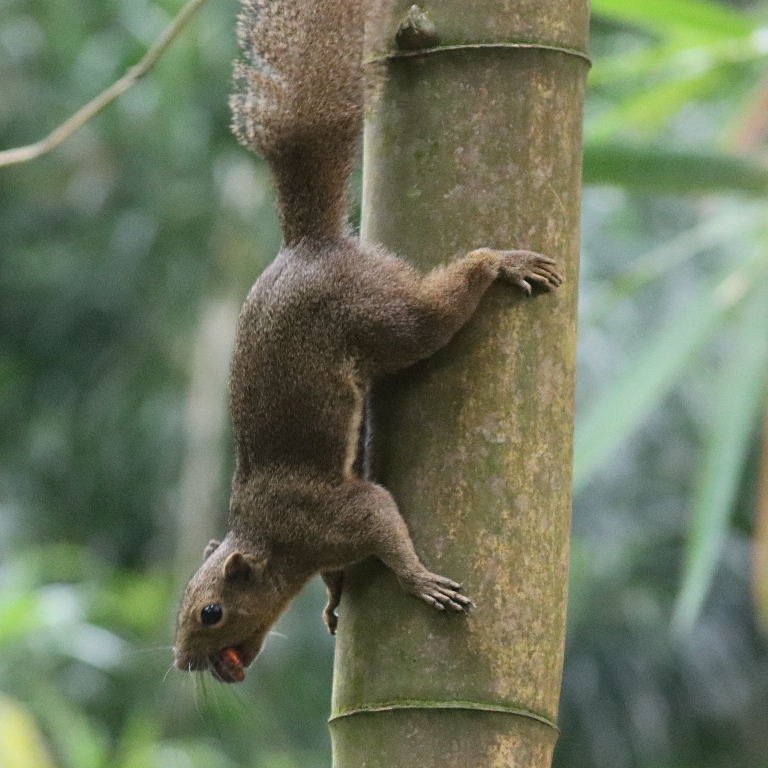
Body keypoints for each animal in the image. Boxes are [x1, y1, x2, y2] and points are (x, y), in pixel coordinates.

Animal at [173, 0, 562, 684]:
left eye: (211, 613)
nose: (183, 662)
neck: (274, 543)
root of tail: (309, 245)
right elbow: (338, 574)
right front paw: (333, 602)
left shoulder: (340, 513)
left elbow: (385, 524)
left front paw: (418, 582)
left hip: (385, 316)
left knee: (439, 306)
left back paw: (499, 262)